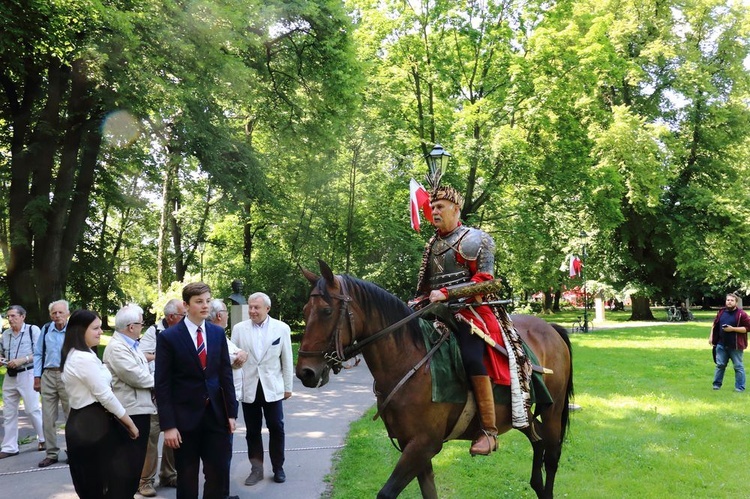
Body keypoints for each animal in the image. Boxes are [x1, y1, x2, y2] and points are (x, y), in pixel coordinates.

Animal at [296, 262, 572, 499]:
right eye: (305, 311)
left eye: (327, 311)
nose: (305, 372)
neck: (410, 361)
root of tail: (551, 329)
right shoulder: (412, 446)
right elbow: (429, 491)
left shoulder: (423, 445)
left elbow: (386, 493)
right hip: (522, 413)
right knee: (538, 442)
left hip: (553, 409)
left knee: (552, 455)